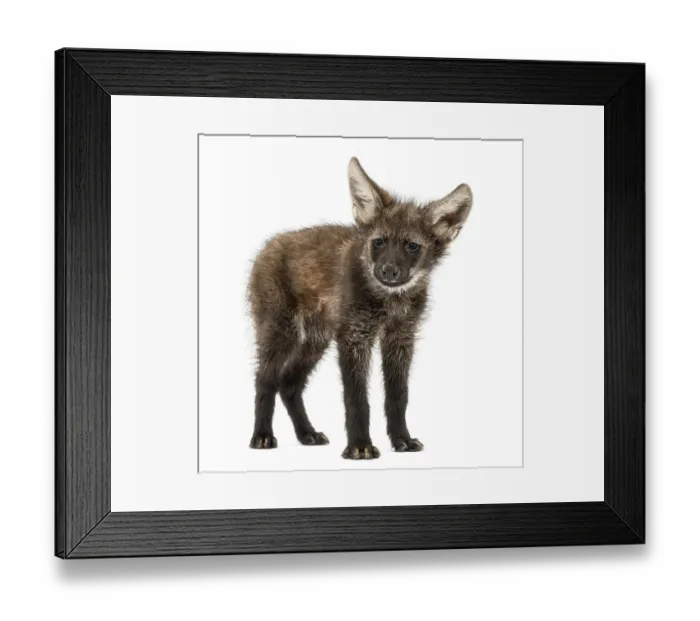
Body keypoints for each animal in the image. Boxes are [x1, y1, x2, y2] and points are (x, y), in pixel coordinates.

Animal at [247, 157, 473, 459]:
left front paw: (402, 440)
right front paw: (359, 446)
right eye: (379, 242)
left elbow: (398, 396)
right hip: (281, 331)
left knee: (289, 382)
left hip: (316, 339)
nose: (388, 271)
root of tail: (267, 246)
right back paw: (262, 436)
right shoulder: (355, 337)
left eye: (412, 246)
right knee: (265, 378)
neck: (390, 300)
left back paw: (307, 434)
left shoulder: (400, 338)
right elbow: (356, 398)